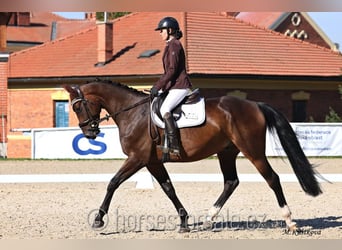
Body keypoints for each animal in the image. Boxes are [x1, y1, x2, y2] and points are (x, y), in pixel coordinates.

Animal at [63, 80, 320, 232]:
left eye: (76, 107)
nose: (90, 133)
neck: (133, 113)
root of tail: (255, 105)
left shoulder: (137, 158)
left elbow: (113, 183)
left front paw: (98, 220)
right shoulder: (152, 162)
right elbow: (168, 188)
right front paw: (185, 222)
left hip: (253, 151)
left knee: (272, 179)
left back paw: (290, 222)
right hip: (226, 152)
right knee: (231, 181)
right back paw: (208, 219)